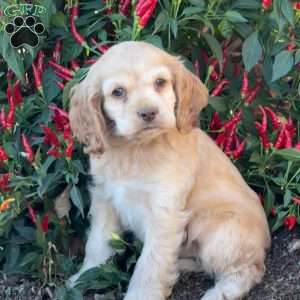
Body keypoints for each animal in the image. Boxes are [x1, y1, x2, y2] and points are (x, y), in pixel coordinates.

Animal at [69, 42, 270, 300]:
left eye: (160, 82)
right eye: (118, 92)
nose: (148, 113)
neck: (134, 149)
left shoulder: (164, 212)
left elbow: (150, 264)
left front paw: (140, 295)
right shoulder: (106, 198)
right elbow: (97, 243)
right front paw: (84, 277)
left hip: (218, 231)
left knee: (249, 269)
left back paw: (219, 293)